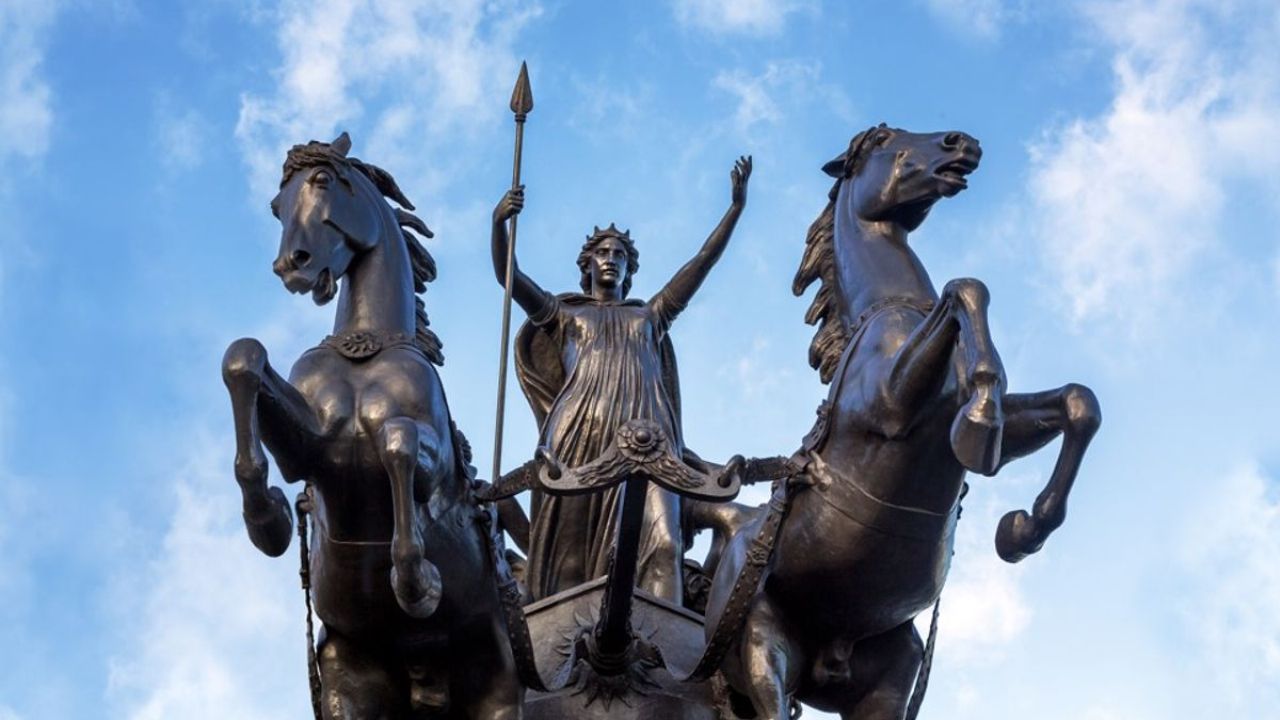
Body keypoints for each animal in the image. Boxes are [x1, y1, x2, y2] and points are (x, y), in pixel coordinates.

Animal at [221, 133, 519, 712]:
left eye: (322, 182)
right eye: (277, 205)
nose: (292, 265)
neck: (366, 346)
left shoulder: (432, 461)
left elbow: (396, 442)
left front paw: (416, 581)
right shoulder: (310, 449)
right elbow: (243, 358)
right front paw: (268, 518)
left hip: (497, 678)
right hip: (347, 677)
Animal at [701, 124, 1100, 717]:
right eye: (883, 139)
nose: (962, 143)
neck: (891, 311)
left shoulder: (984, 424)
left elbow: (1077, 403)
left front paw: (1022, 529)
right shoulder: (891, 404)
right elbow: (966, 288)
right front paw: (980, 422)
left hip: (887, 681)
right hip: (761, 646)